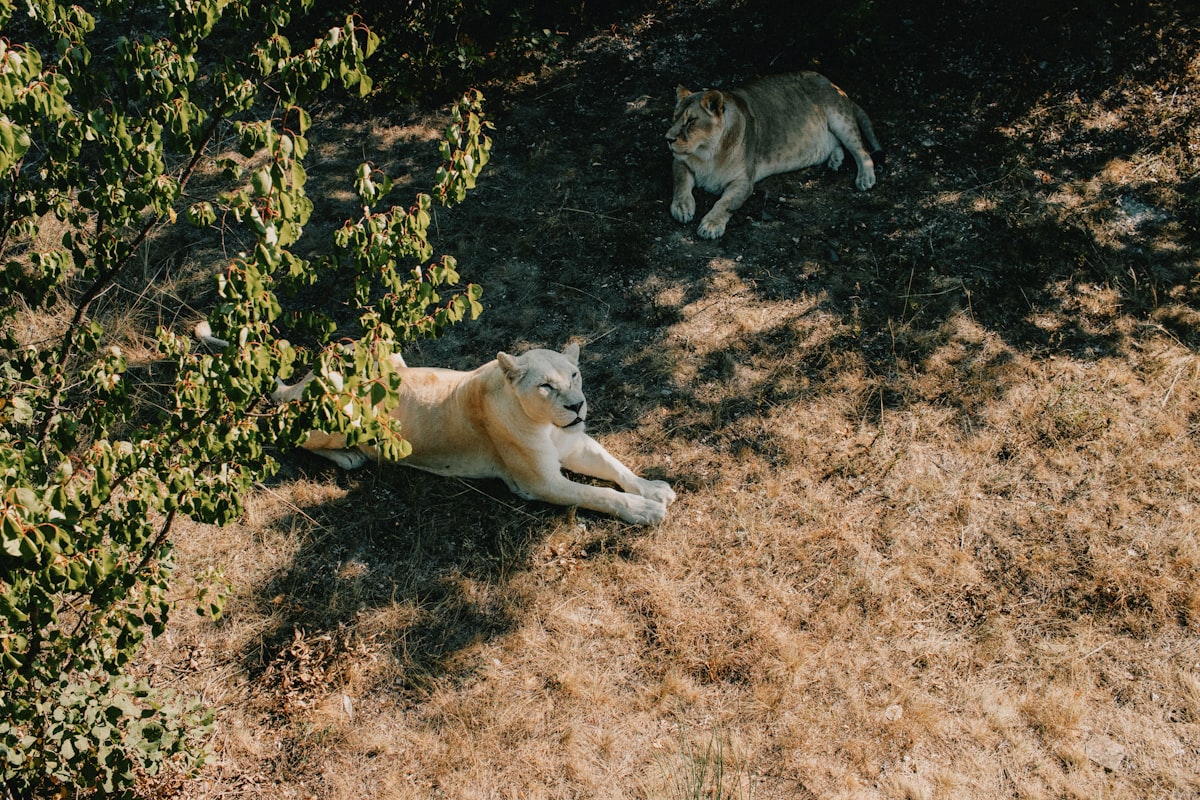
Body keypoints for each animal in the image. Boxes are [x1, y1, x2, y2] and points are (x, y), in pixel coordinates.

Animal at [195, 323, 676, 525]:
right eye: (545, 386)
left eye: (574, 375)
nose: (577, 406)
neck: (549, 427)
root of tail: (305, 382)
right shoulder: (537, 483)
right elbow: (598, 494)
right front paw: (645, 511)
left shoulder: (575, 445)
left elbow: (616, 468)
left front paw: (653, 489)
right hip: (338, 410)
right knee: (287, 432)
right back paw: (349, 456)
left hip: (384, 351)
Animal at [666, 71, 882, 238]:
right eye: (674, 118)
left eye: (691, 121)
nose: (667, 138)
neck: (708, 153)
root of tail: (831, 82)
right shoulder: (679, 162)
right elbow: (680, 184)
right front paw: (682, 207)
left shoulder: (744, 182)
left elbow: (724, 203)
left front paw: (710, 225)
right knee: (837, 143)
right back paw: (835, 160)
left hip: (840, 119)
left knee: (862, 150)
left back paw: (865, 178)